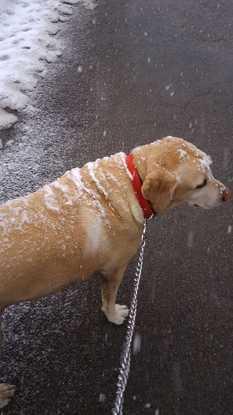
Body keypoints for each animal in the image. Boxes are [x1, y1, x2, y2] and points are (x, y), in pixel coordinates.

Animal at [0, 136, 230, 406]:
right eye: (200, 183)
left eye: (211, 170)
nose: (226, 194)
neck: (131, 182)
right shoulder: (115, 268)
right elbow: (108, 297)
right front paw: (113, 315)